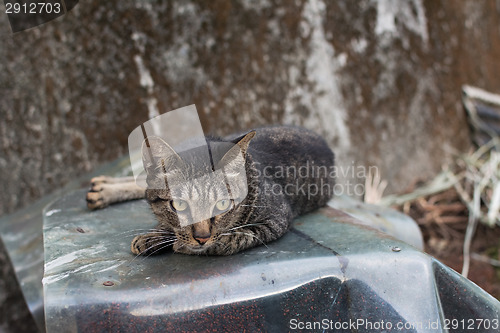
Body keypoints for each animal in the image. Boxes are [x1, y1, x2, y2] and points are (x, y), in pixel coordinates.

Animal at [87, 126, 334, 255]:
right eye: (179, 204)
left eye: (222, 204)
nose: (202, 237)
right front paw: (155, 235)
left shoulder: (276, 220)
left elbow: (232, 238)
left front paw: (176, 243)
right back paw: (102, 188)